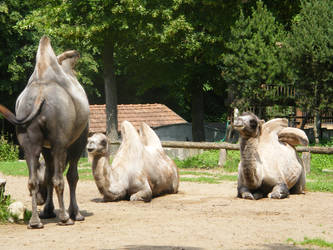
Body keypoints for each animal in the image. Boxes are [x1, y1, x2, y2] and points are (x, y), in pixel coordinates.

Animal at [0, 36, 89, 229]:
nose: (41, 200)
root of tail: (40, 96)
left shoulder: (46, 147)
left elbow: (46, 176)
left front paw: (47, 211)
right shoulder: (79, 140)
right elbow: (71, 176)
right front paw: (76, 213)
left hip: (28, 138)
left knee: (32, 179)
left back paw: (35, 221)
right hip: (60, 142)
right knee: (60, 178)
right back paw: (65, 218)